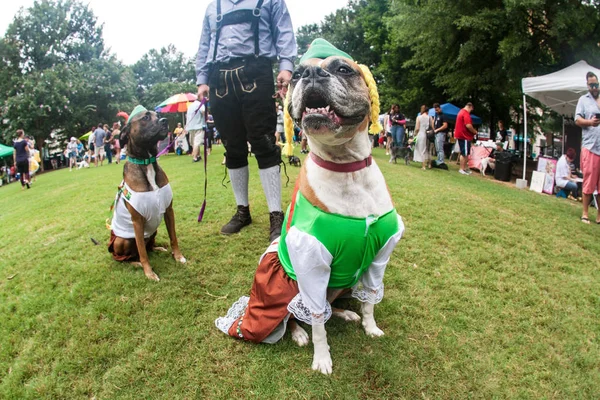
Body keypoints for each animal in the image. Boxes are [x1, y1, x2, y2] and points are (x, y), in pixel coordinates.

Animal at [108, 106, 186, 282]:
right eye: (145, 118)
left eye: (158, 115)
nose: (164, 121)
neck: (147, 162)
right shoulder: (137, 221)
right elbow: (142, 252)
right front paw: (149, 273)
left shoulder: (168, 211)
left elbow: (173, 237)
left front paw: (178, 256)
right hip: (121, 241)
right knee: (127, 257)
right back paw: (135, 263)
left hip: (153, 229)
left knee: (148, 246)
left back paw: (158, 248)